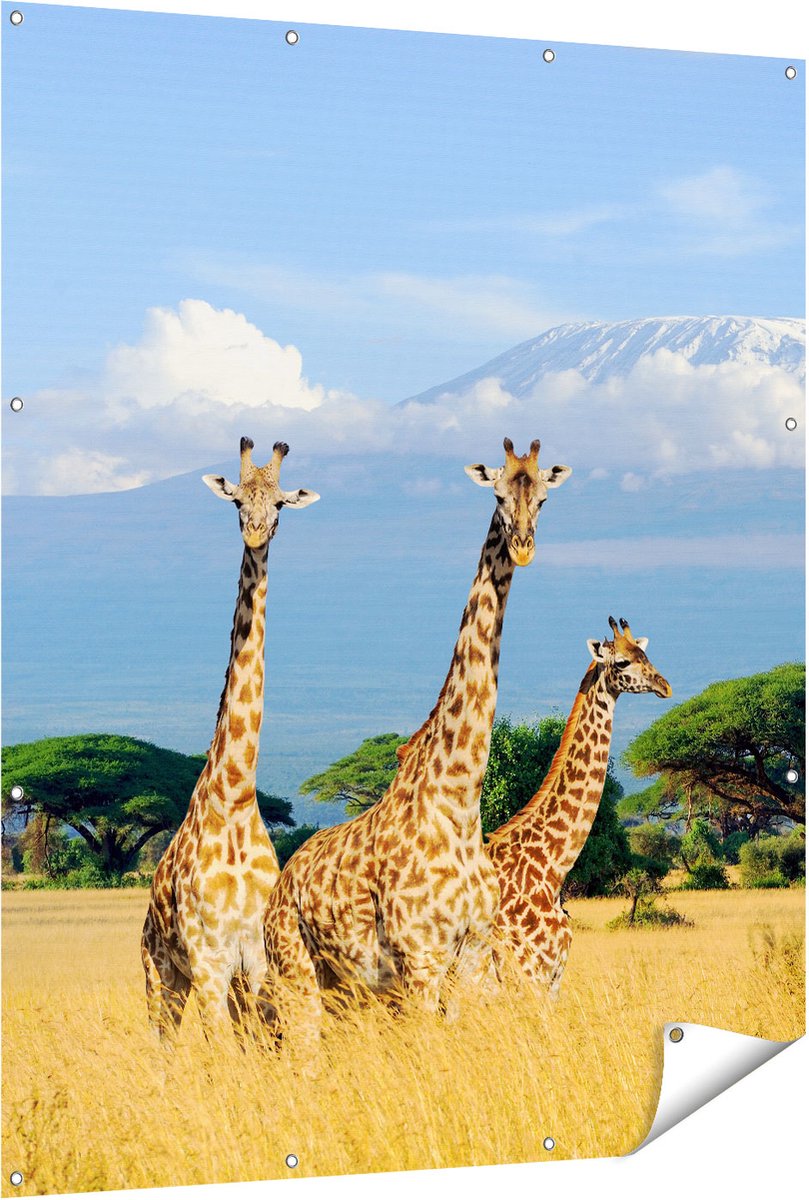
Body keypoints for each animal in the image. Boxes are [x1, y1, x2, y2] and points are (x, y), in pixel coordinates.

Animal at [141, 437, 319, 1041]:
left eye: (281, 503)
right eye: (238, 500)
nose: (257, 532)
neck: (237, 796)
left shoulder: (256, 961)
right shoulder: (209, 960)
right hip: (160, 976)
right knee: (162, 1043)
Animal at [262, 438, 572, 1049]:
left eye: (545, 499)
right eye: (497, 494)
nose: (523, 547)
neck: (459, 800)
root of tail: (282, 885)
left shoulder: (472, 956)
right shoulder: (421, 960)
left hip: (347, 988)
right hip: (296, 971)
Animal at [485, 616, 671, 996]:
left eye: (645, 653)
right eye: (622, 662)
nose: (666, 686)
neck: (551, 868)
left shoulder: (552, 980)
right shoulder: (529, 976)